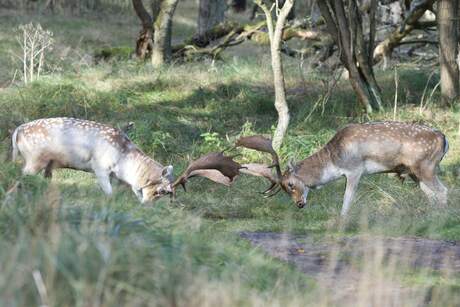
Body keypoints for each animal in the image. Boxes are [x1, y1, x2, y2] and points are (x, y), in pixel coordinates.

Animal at [11, 117, 241, 202]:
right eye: (161, 190)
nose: (147, 205)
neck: (123, 162)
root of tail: (16, 131)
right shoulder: (100, 167)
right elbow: (109, 192)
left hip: (45, 165)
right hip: (34, 160)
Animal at [237, 122, 450, 217]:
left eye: (290, 183)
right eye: (284, 188)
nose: (299, 204)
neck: (333, 160)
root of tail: (443, 139)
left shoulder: (355, 169)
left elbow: (347, 197)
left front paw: (342, 219)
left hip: (426, 166)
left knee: (443, 191)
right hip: (415, 172)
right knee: (431, 194)